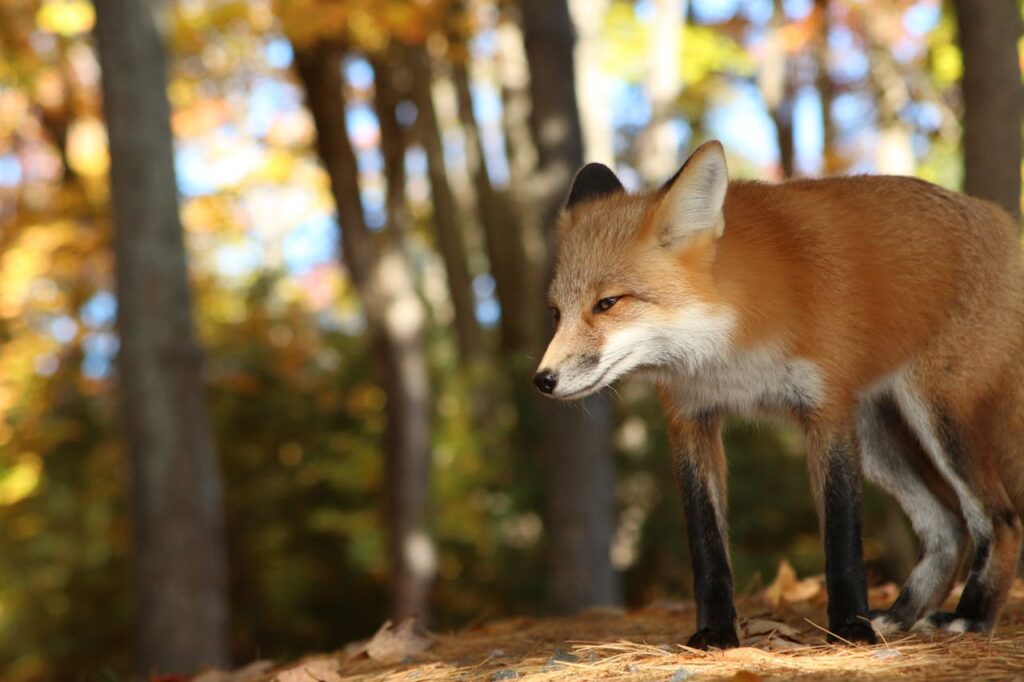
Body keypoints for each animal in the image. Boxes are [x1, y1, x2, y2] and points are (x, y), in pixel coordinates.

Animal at [533, 140, 1024, 649]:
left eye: (608, 303)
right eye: (555, 313)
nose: (543, 380)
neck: (731, 353)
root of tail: (998, 218)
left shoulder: (827, 410)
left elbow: (842, 539)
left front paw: (850, 628)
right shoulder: (690, 420)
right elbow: (707, 547)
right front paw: (714, 633)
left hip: (940, 417)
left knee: (1000, 519)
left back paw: (969, 618)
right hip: (878, 439)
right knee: (947, 526)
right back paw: (901, 616)